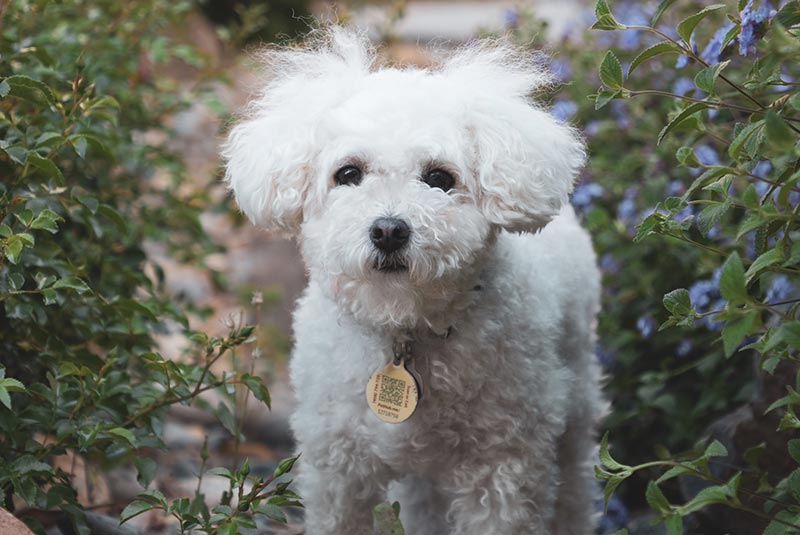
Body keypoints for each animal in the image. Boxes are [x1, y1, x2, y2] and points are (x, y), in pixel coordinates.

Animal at [222, 28, 604, 535]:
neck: (404, 327)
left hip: (575, 400)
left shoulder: (503, 466)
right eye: (348, 173)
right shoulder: (337, 467)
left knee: (575, 484)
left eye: (439, 178)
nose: (388, 230)